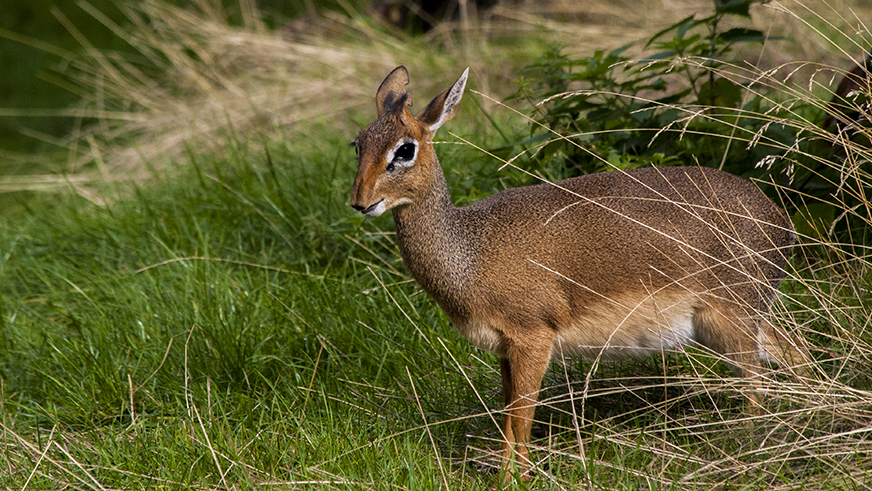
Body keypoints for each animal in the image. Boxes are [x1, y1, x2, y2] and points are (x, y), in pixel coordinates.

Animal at [350, 65, 800, 480]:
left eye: (405, 150)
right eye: (358, 143)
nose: (360, 201)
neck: (469, 252)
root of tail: (780, 220)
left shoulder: (533, 337)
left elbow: (522, 417)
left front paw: (517, 478)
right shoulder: (505, 350)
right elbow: (510, 417)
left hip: (732, 318)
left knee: (760, 377)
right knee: (792, 354)